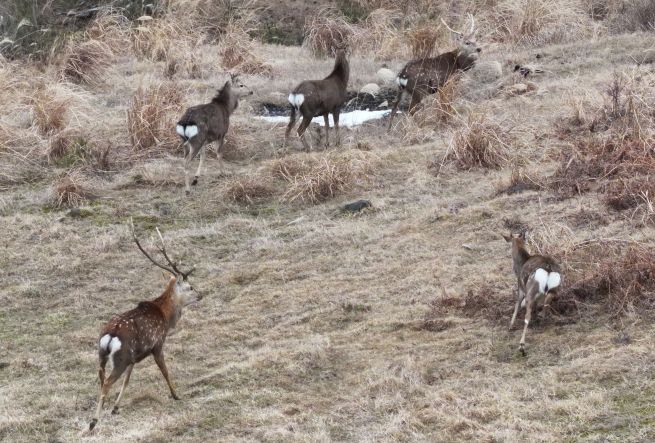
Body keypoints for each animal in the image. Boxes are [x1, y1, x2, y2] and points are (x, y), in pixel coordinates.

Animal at [89, 220, 200, 431]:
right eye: (190, 287)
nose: (201, 294)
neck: (166, 317)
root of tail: (111, 335)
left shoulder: (134, 357)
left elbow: (127, 381)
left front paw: (115, 408)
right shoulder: (157, 344)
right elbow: (165, 371)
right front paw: (176, 395)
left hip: (103, 355)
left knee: (100, 378)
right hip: (120, 357)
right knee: (107, 383)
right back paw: (93, 422)